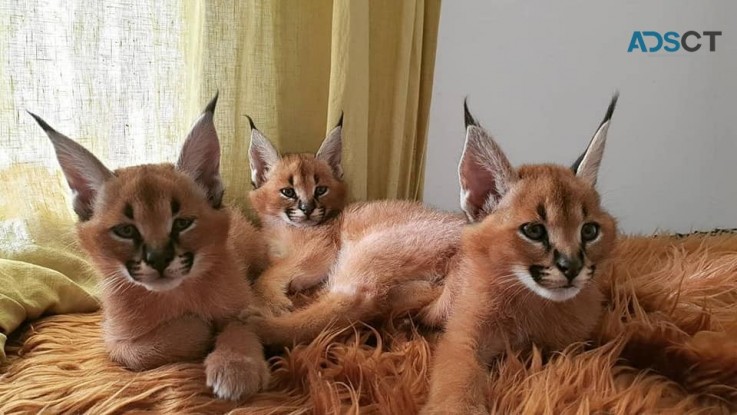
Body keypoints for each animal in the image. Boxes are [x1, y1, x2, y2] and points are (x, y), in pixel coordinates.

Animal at [30, 95, 270, 404]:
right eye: (125, 230)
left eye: (182, 223)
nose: (158, 259)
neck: (175, 295)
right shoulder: (113, 338)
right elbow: (138, 353)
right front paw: (198, 327)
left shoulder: (243, 305)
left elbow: (240, 324)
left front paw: (236, 366)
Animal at [247, 115, 466, 346]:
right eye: (288, 192)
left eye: (321, 190)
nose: (307, 209)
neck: (279, 226)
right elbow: (274, 265)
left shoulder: (320, 252)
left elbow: (271, 272)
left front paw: (269, 300)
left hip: (370, 248)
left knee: (354, 302)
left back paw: (261, 327)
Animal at [420, 96, 616, 414]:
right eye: (534, 231)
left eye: (589, 231)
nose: (572, 266)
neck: (535, 303)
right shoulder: (462, 337)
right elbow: (459, 374)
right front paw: (457, 407)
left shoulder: (569, 348)